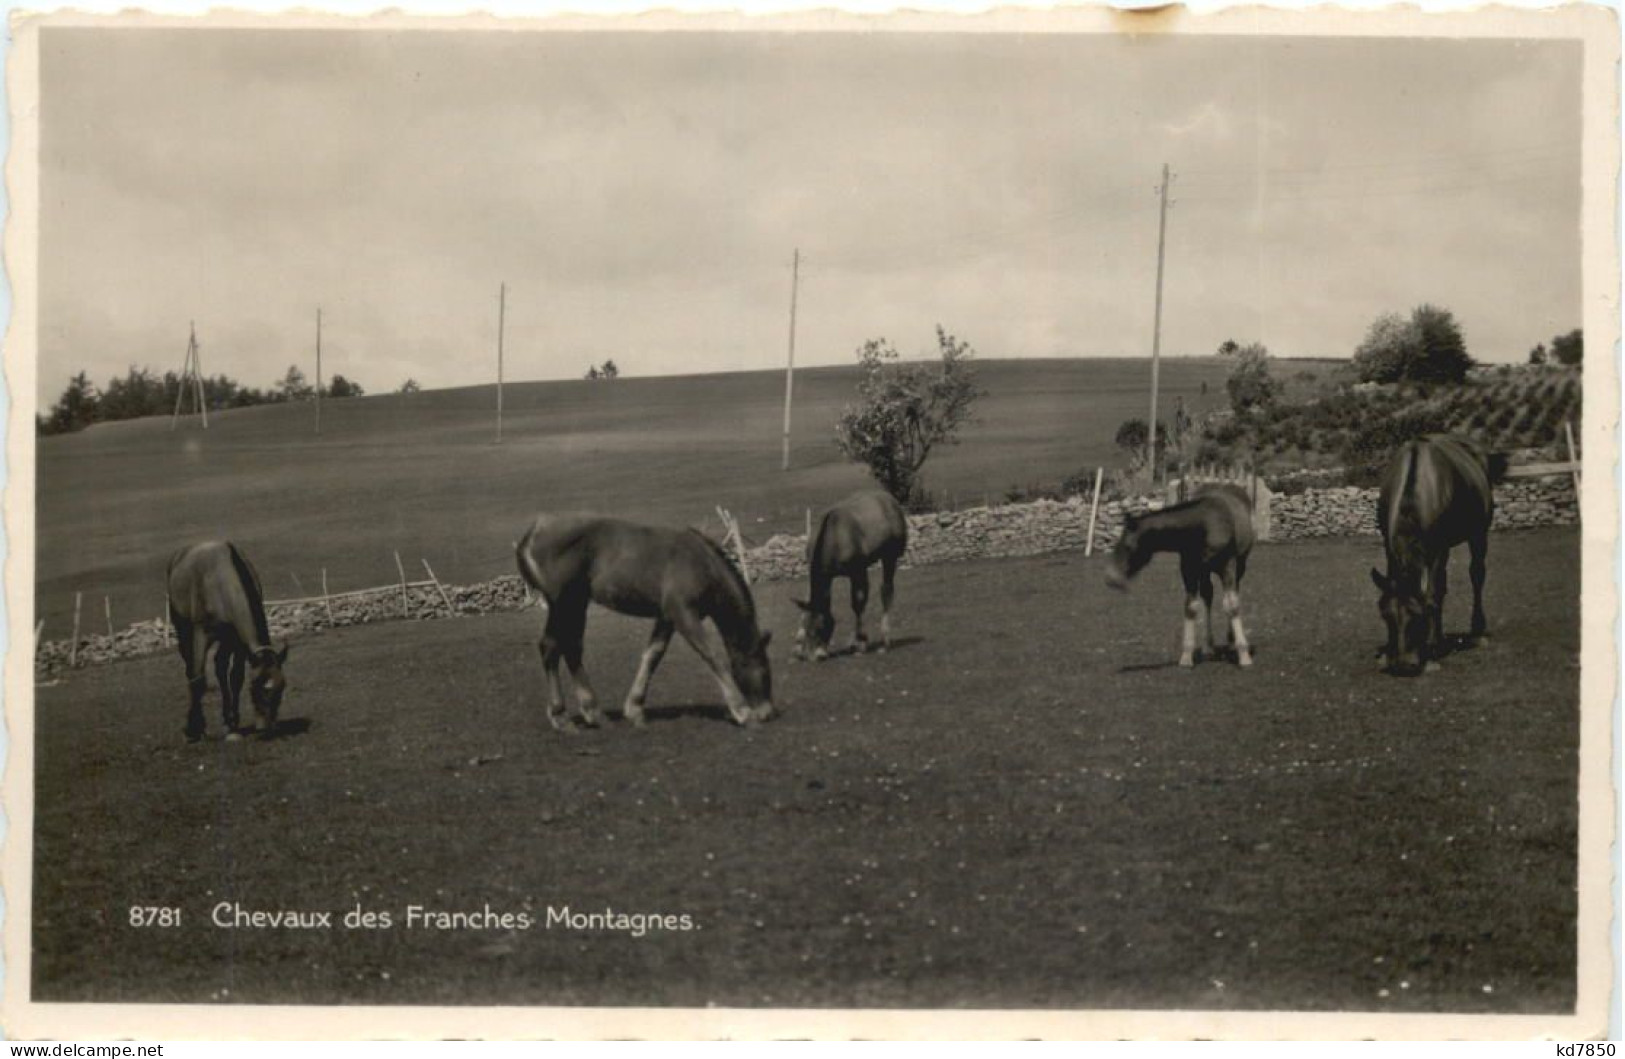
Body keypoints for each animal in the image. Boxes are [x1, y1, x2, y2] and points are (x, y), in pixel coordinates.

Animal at [168, 542, 292, 740]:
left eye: (281, 687)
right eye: (255, 686)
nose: (265, 727)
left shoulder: (237, 640)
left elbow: (235, 677)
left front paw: (233, 723)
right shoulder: (201, 634)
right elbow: (198, 680)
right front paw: (193, 729)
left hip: (225, 641)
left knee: (220, 667)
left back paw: (227, 720)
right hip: (182, 627)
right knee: (190, 669)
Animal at [516, 516, 776, 730]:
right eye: (764, 670)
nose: (768, 713)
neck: (702, 564)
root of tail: (533, 532)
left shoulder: (667, 617)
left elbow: (653, 655)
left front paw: (635, 709)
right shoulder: (684, 614)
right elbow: (710, 655)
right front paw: (742, 710)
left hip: (576, 604)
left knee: (569, 647)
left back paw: (592, 712)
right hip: (564, 603)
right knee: (552, 646)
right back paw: (563, 715)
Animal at [793, 490, 910, 662]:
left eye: (821, 626)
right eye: (806, 626)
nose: (815, 656)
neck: (833, 538)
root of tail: (890, 500)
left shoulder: (857, 571)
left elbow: (858, 603)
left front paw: (861, 642)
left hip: (890, 556)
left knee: (886, 591)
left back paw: (885, 641)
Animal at [1105, 484, 1254, 665]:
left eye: (1127, 546)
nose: (1111, 578)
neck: (1204, 525)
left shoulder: (1228, 566)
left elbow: (1232, 605)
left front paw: (1244, 654)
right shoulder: (1189, 569)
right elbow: (1190, 606)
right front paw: (1187, 655)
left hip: (1239, 566)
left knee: (1232, 595)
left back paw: (1231, 642)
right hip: (1205, 572)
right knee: (1208, 596)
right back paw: (1208, 647)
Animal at [1365, 432, 1488, 675]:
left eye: (1416, 617)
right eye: (1385, 616)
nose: (1403, 664)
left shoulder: (1439, 549)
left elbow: (1432, 595)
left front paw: (1430, 650)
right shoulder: (1388, 545)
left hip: (1479, 533)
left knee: (1476, 574)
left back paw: (1476, 630)